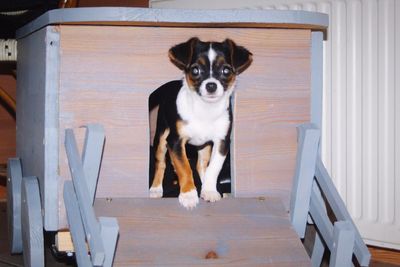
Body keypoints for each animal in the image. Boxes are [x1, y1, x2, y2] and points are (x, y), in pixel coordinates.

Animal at [148, 37, 252, 209]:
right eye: (195, 70)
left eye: (226, 71)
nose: (211, 85)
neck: (205, 110)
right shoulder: (175, 142)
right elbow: (184, 167)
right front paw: (189, 195)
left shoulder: (221, 143)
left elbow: (213, 168)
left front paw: (209, 190)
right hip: (162, 137)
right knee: (161, 162)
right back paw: (155, 189)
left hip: (204, 146)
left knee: (202, 165)